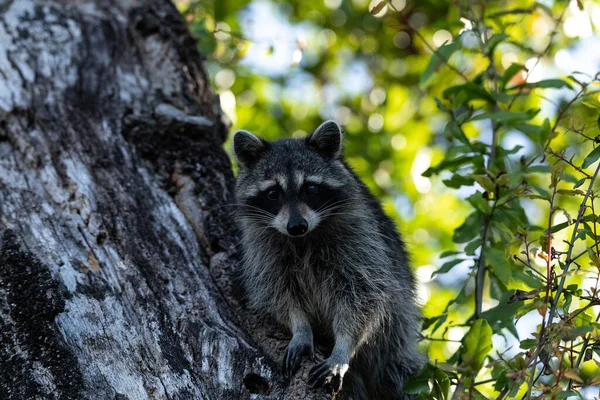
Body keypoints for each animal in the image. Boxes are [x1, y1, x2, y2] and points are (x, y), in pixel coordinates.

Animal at [232, 120, 424, 398]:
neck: (303, 239)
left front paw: (342, 348)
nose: (296, 226)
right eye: (273, 193)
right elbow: (279, 293)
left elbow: (363, 297)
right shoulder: (264, 249)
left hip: (395, 344)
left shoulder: (360, 240)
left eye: (310, 188)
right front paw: (300, 328)